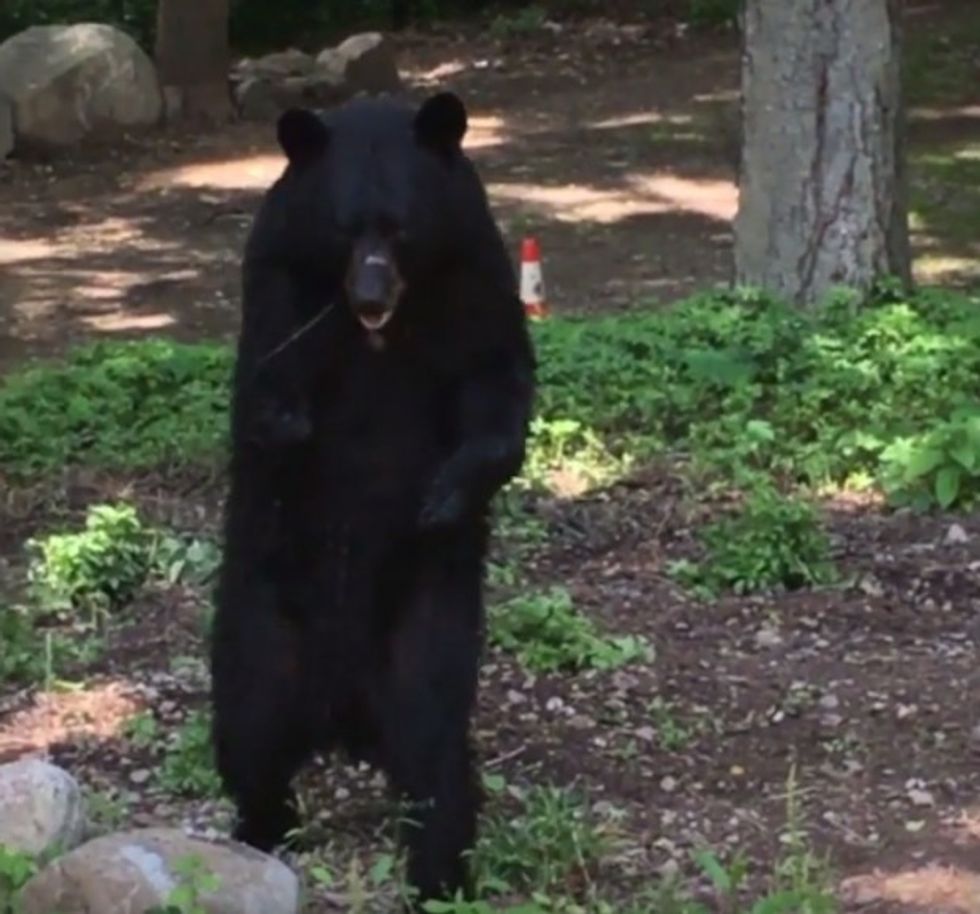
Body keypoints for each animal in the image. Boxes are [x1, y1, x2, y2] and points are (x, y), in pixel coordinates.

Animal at [209, 89, 536, 900]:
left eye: (401, 227)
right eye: (342, 227)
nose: (368, 292)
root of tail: (342, 714)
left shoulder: (475, 277)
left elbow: (497, 384)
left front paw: (442, 495)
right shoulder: (279, 279)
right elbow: (266, 391)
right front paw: (292, 429)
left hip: (423, 623)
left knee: (433, 741)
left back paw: (440, 867)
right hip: (265, 615)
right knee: (252, 716)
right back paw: (263, 824)